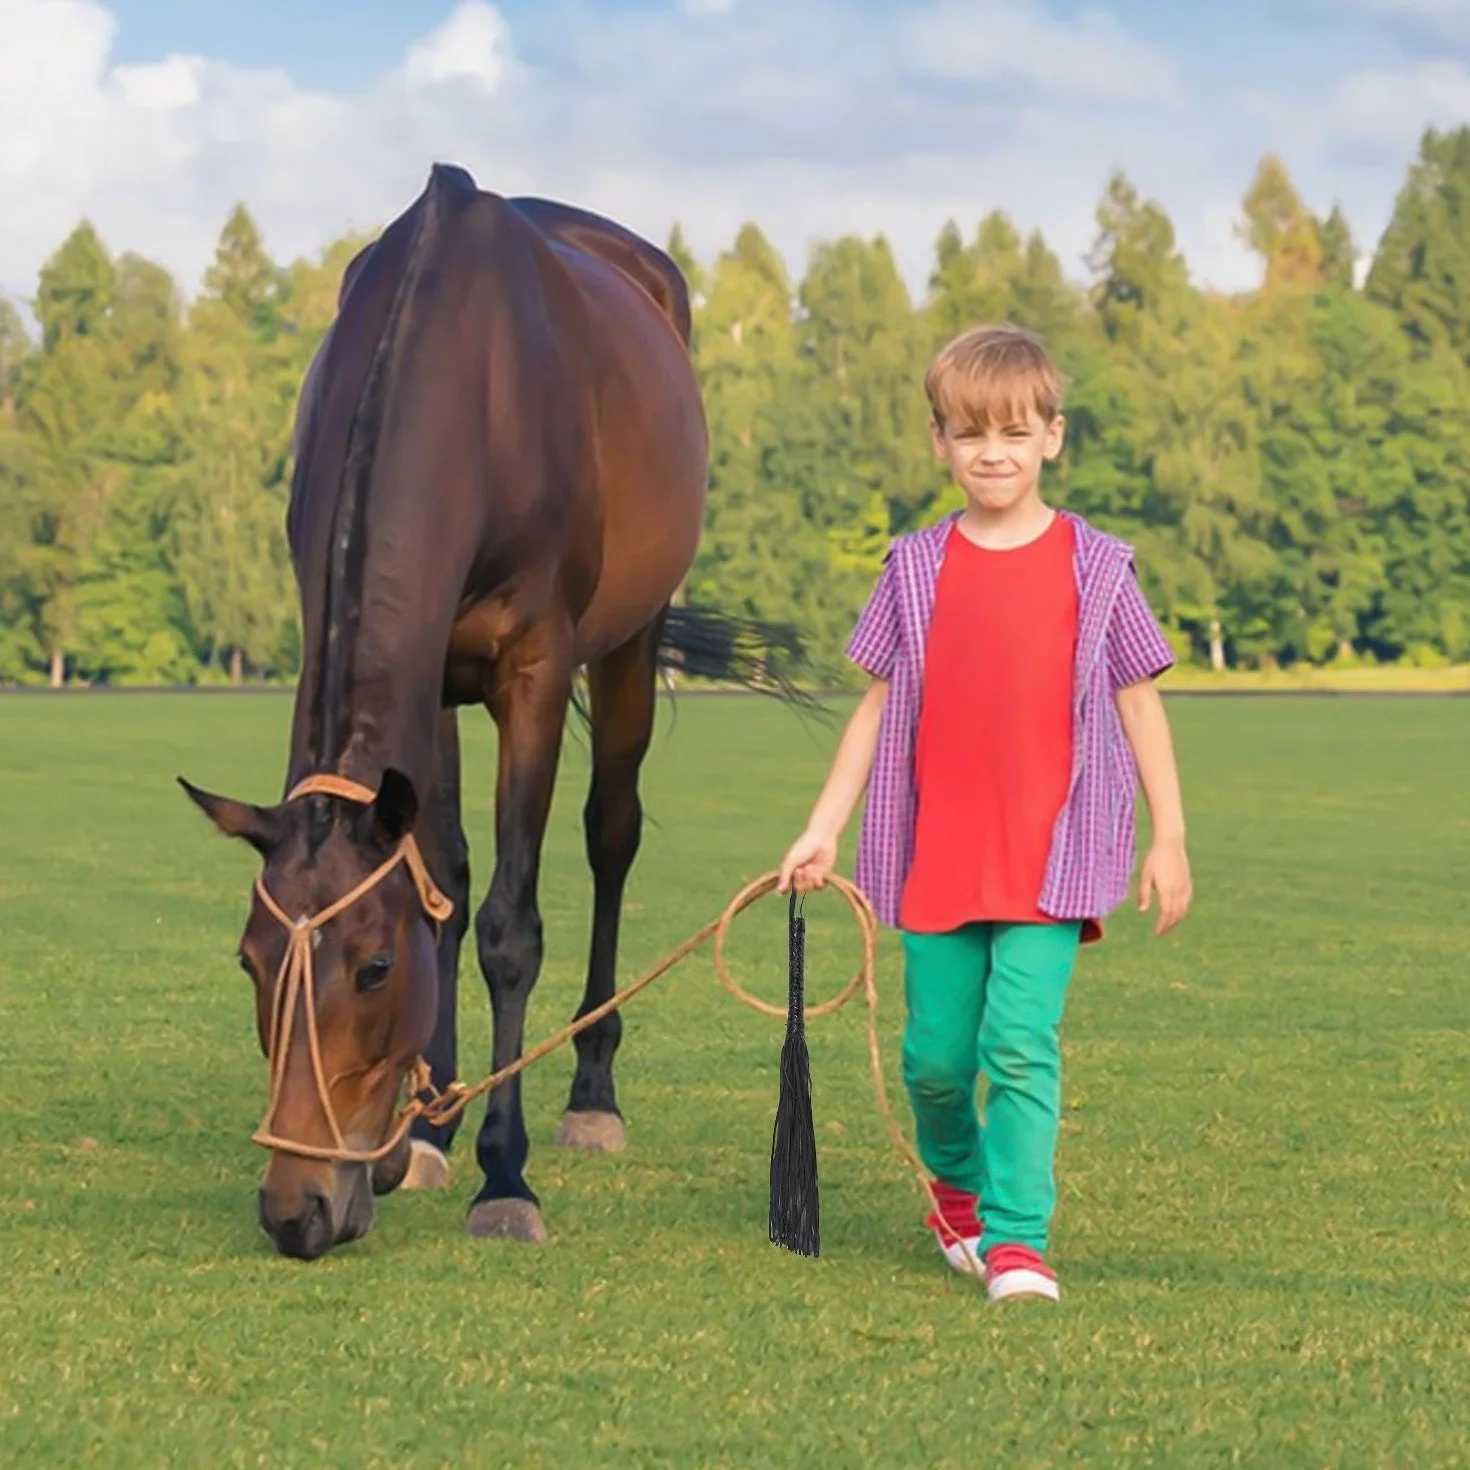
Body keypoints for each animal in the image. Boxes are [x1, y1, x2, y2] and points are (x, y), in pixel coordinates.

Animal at [179, 162, 799, 1260]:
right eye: (250, 960)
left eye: (374, 969)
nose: (297, 1211)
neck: (469, 380)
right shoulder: (428, 677)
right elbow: (447, 881)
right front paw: (423, 1133)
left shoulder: (533, 669)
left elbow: (511, 924)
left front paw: (502, 1174)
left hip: (631, 643)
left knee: (611, 834)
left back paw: (592, 1093)